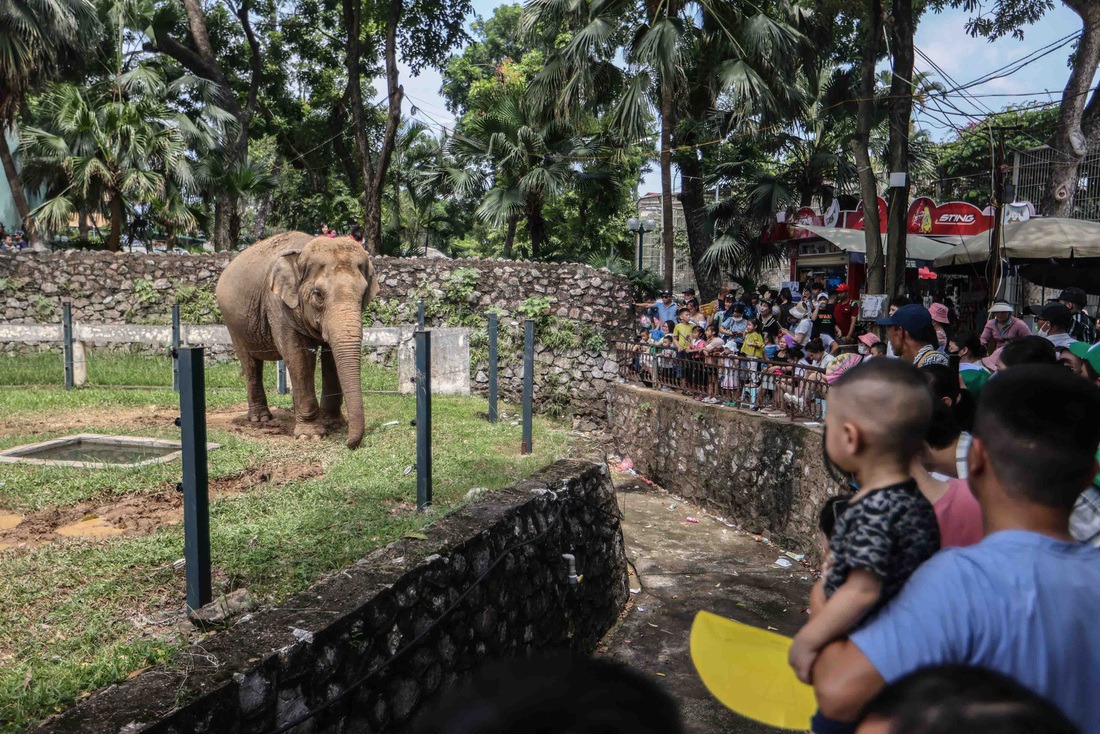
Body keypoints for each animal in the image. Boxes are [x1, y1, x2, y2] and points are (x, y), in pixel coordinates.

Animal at [216, 232, 380, 448]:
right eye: (318, 295)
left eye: (363, 295)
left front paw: (333, 424)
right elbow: (298, 356)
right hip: (233, 323)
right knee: (251, 363)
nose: (349, 443)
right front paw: (311, 435)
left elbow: (330, 357)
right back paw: (260, 418)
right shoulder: (277, 304)